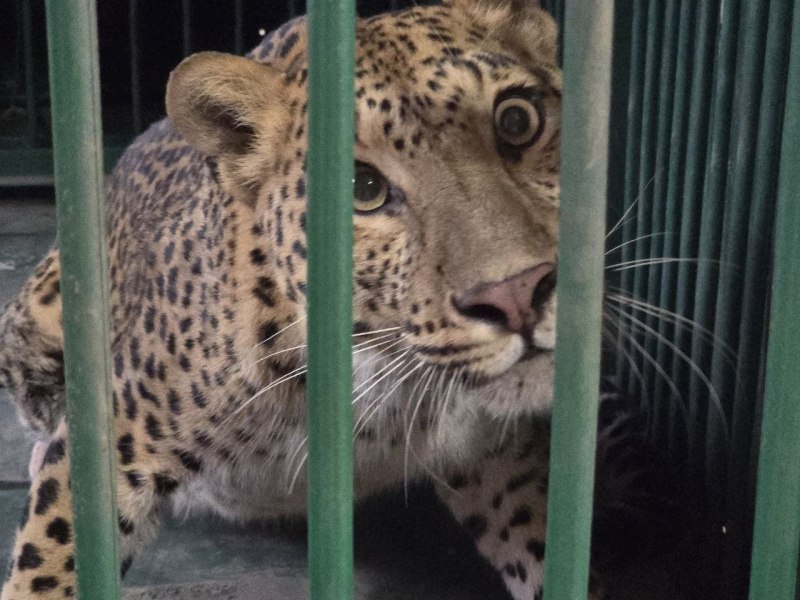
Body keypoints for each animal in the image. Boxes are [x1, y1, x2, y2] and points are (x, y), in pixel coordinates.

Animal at [0, 0, 616, 597]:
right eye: (363, 190)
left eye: (518, 121)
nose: (517, 294)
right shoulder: (117, 433)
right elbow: (51, 559)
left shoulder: (505, 466)